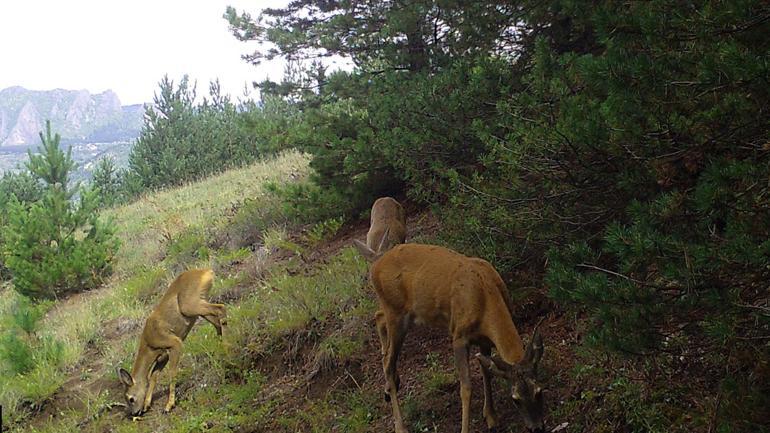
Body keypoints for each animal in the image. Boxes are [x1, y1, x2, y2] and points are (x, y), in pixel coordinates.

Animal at [115, 266, 226, 416]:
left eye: (130, 398)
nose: (135, 413)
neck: (149, 344)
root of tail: (207, 271)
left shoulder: (174, 342)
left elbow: (171, 373)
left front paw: (169, 405)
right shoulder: (163, 356)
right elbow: (153, 376)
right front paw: (147, 404)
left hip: (190, 305)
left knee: (221, 308)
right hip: (200, 305)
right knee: (217, 321)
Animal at [354, 240, 544, 432]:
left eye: (539, 391)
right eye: (515, 399)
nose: (537, 428)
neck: (485, 295)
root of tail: (376, 262)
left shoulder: (484, 340)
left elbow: (486, 372)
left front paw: (491, 416)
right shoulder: (459, 336)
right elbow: (466, 388)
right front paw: (467, 427)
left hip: (399, 312)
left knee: (379, 319)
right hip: (396, 313)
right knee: (388, 362)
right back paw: (400, 425)